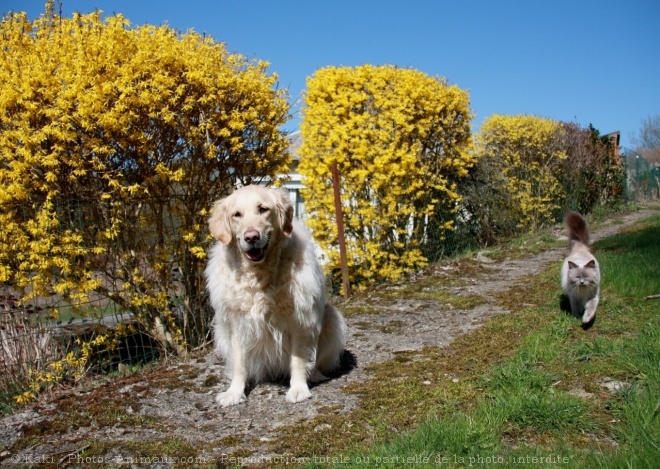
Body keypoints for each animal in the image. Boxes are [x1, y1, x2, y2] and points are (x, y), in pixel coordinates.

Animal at [205, 185, 346, 404]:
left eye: (263, 209)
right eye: (237, 214)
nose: (251, 237)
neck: (259, 273)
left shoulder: (299, 317)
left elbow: (298, 359)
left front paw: (298, 388)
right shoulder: (236, 322)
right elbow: (239, 362)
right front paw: (234, 392)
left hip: (332, 318)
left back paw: (313, 374)